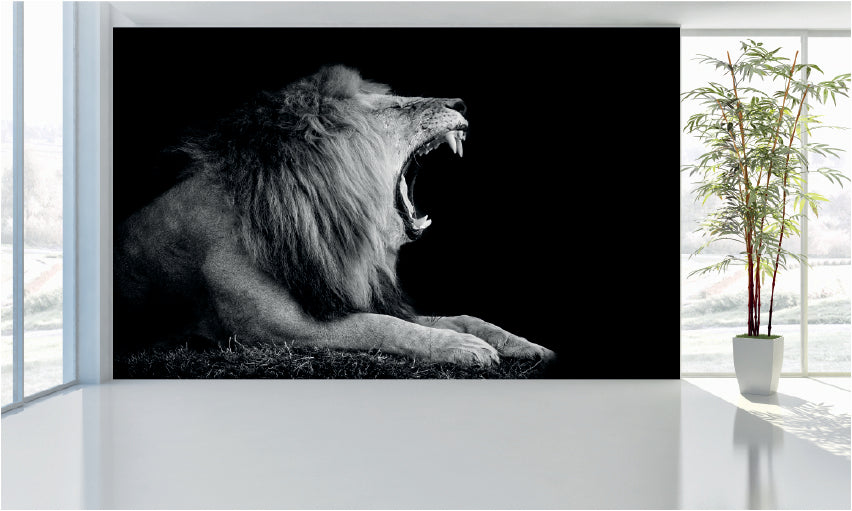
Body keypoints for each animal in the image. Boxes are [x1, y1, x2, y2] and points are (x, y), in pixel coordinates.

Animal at [114, 65, 555, 368]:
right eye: (397, 106)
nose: (461, 104)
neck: (325, 225)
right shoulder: (272, 329)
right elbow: (381, 326)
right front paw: (460, 347)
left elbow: (461, 316)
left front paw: (521, 343)